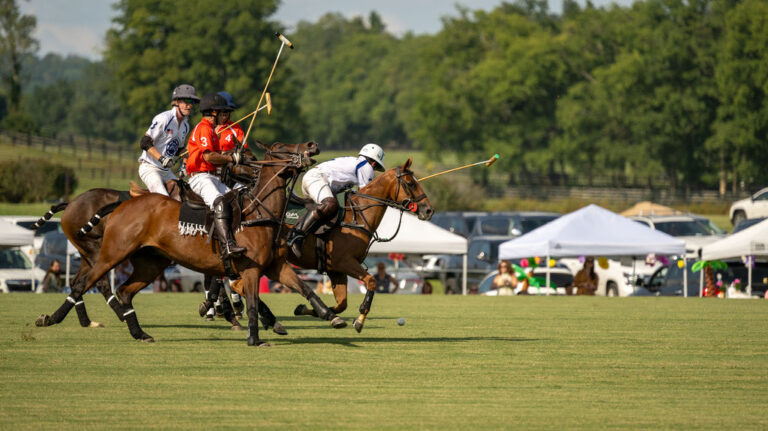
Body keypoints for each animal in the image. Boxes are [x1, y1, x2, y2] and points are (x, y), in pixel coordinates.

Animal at [77, 142, 344, 348]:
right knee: (83, 283)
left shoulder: (275, 266)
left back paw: (140, 334)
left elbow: (304, 287)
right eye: (280, 148)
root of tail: (122, 203)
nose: (311, 145)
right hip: (113, 253)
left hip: (150, 263)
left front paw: (330, 315)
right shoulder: (251, 269)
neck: (257, 213)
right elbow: (252, 302)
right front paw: (254, 339)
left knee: (123, 291)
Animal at [286, 159, 432, 334]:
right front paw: (360, 320)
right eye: (410, 183)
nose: (429, 210)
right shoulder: (344, 262)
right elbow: (371, 281)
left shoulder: (335, 270)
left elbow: (342, 304)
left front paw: (306, 310)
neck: (357, 217)